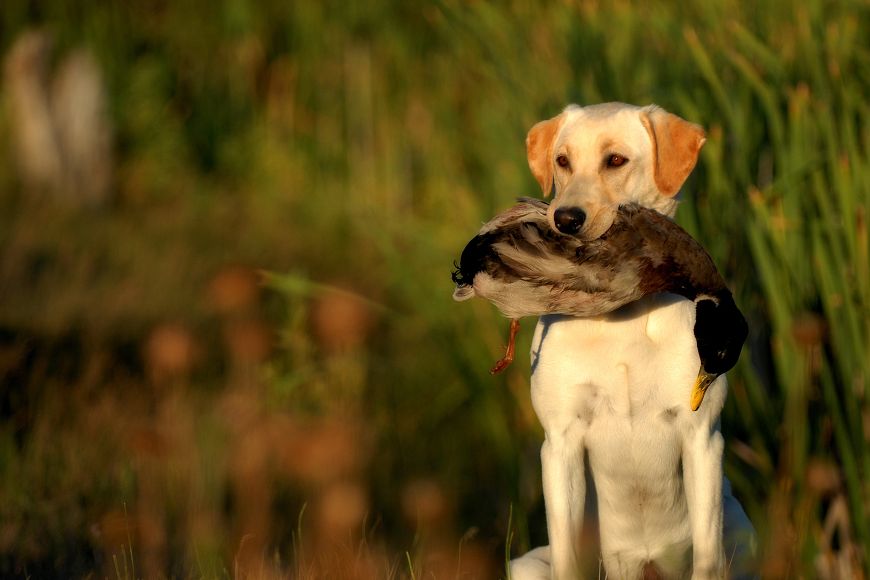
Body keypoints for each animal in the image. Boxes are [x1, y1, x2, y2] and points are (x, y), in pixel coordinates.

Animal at [510, 104, 756, 580]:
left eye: (616, 160)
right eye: (562, 160)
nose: (565, 219)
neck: (619, 315)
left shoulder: (701, 438)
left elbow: (706, 554)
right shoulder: (561, 443)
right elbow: (567, 553)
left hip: (740, 530)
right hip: (527, 564)